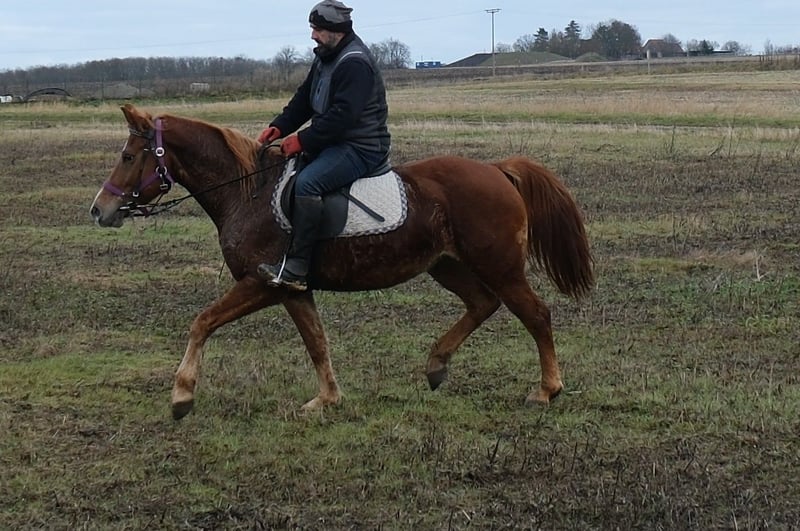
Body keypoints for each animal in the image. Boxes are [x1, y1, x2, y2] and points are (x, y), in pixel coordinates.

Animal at [90, 104, 593, 420]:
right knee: (482, 304)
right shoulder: (292, 290)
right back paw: (436, 364)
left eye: (128, 156)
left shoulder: (260, 284)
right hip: (446, 265)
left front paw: (181, 395)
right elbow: (316, 342)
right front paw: (327, 399)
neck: (246, 193)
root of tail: (496, 169)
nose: (99, 210)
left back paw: (546, 390)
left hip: (501, 267)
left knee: (536, 315)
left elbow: (202, 322)